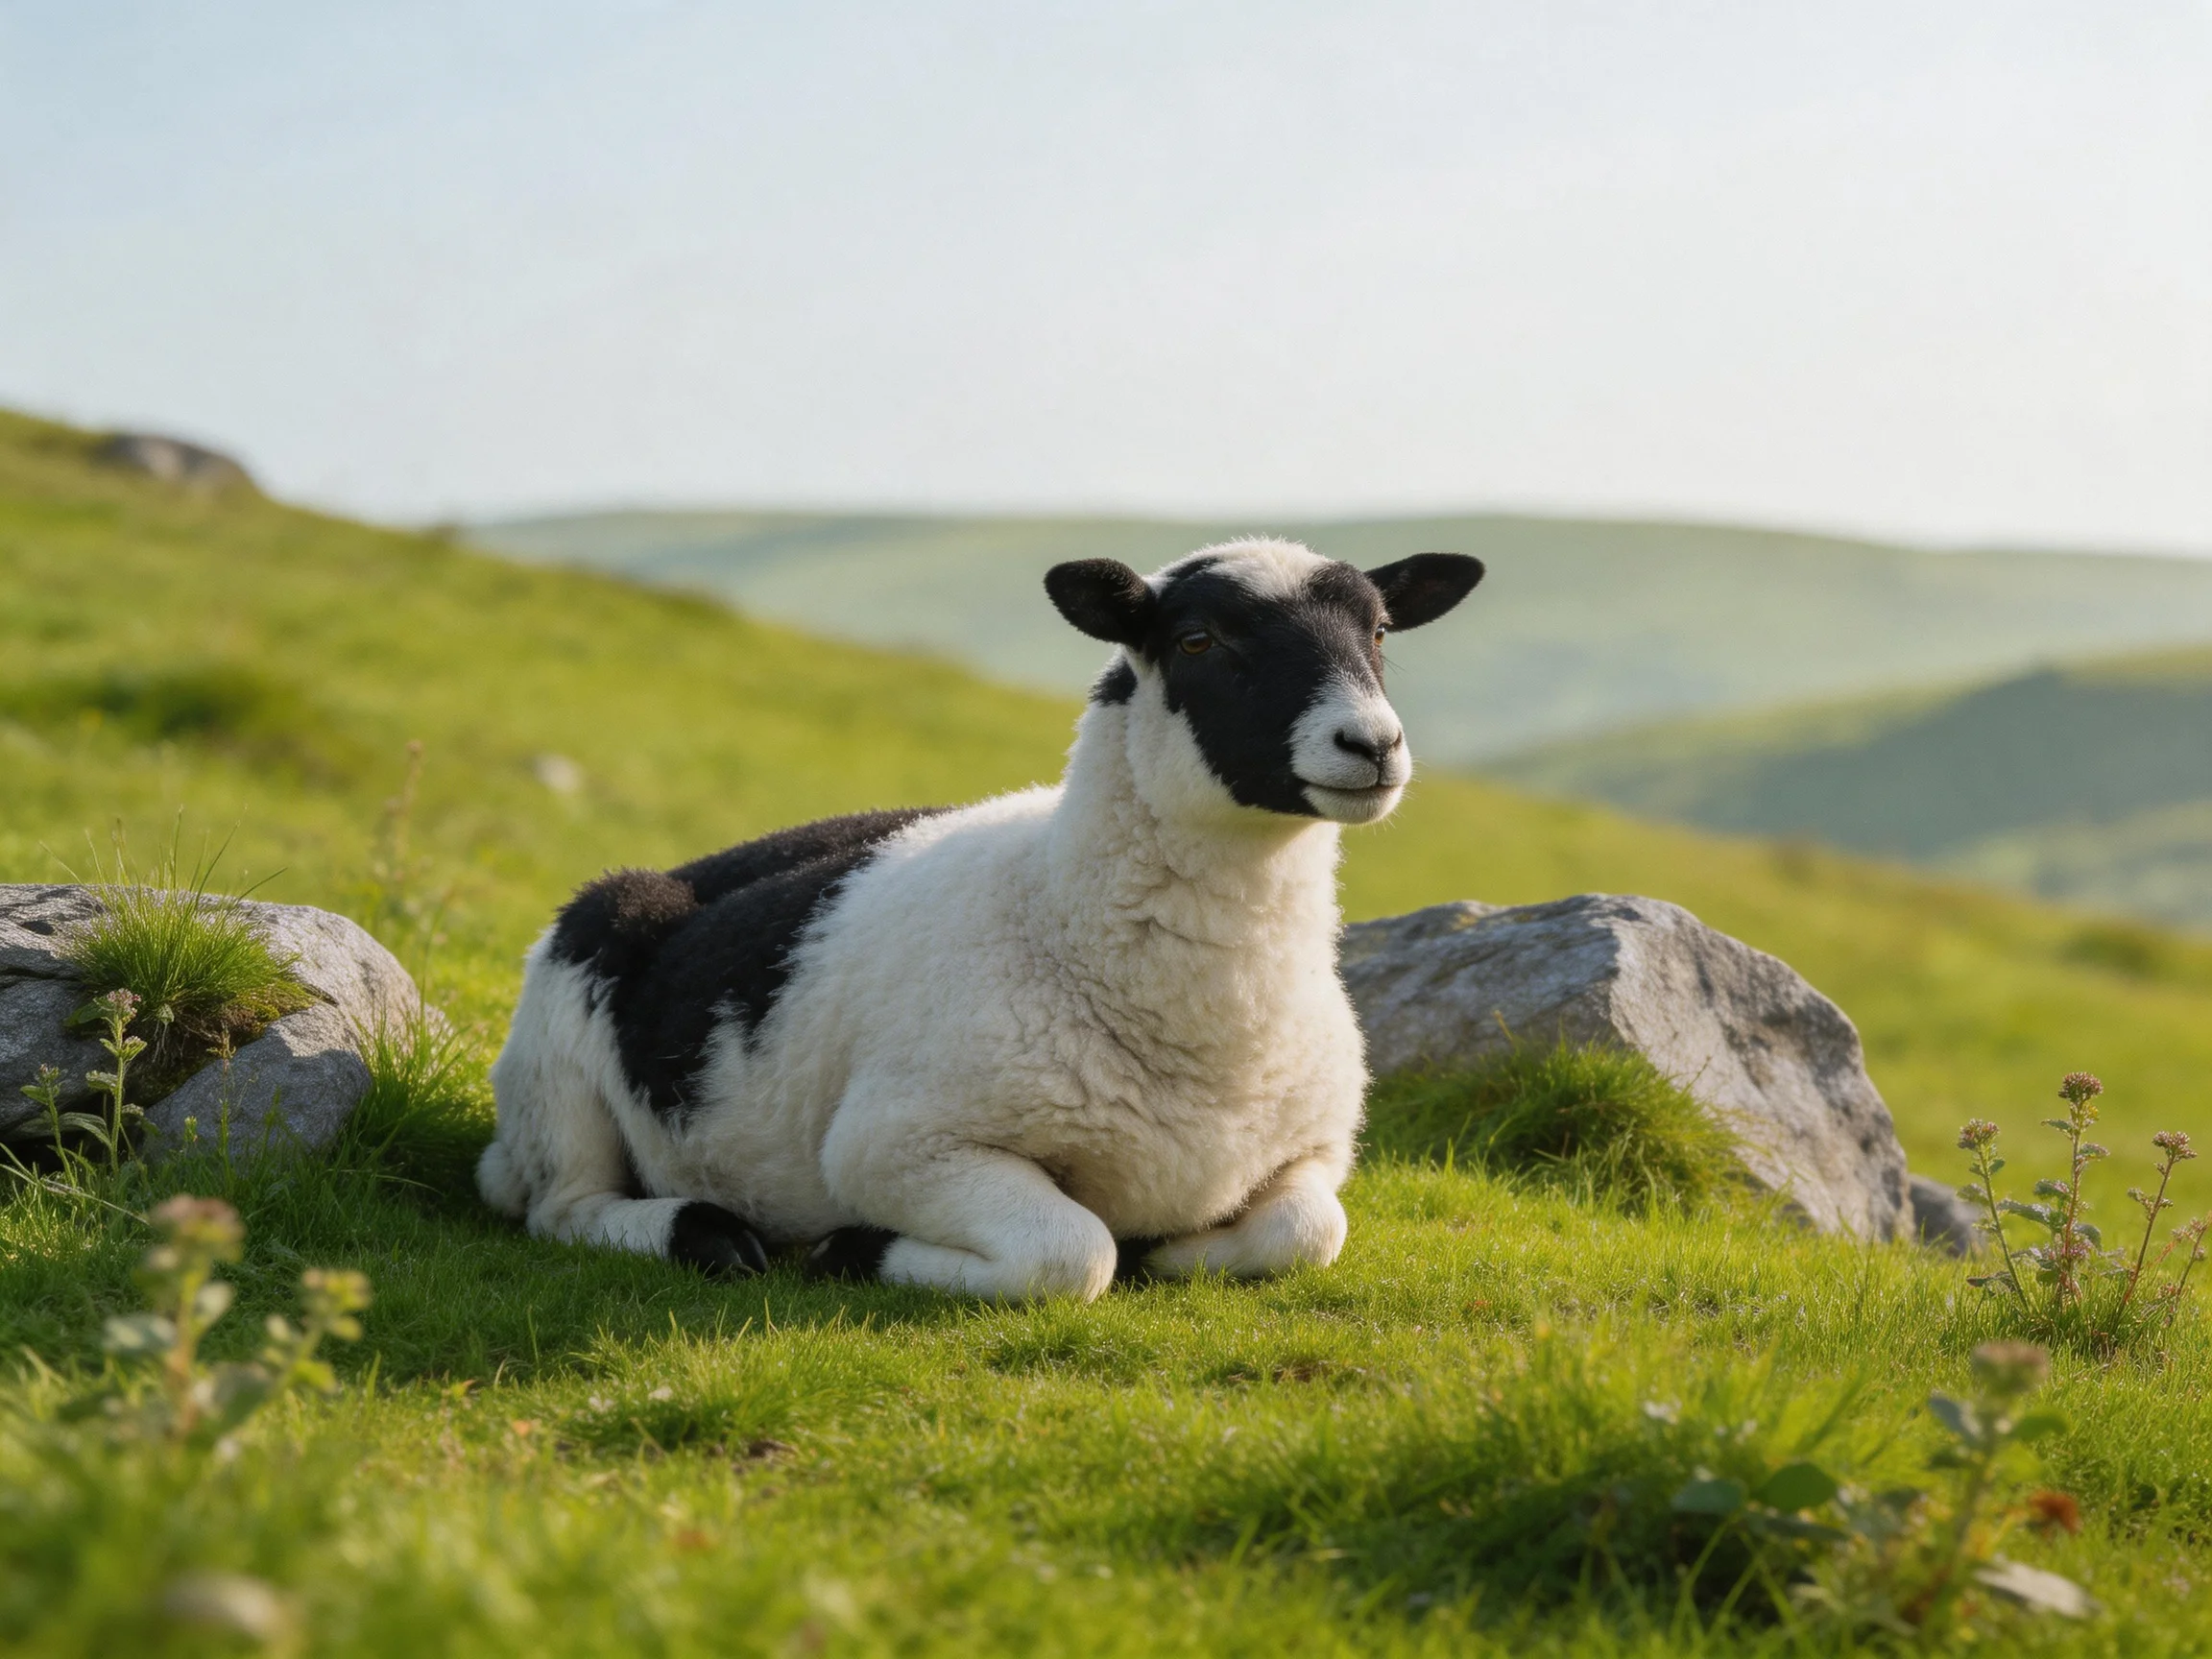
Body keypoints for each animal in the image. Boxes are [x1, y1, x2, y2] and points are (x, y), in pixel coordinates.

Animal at [478, 537, 1484, 1301]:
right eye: (1198, 641)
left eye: (1380, 631)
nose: (1372, 746)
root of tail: (692, 869)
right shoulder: (897, 1146)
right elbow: (1071, 1254)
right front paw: (855, 1249)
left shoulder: (1316, 1151)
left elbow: (1308, 1229)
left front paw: (1172, 1250)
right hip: (560, 1054)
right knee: (563, 1207)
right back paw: (709, 1235)